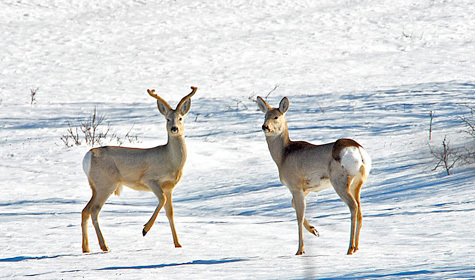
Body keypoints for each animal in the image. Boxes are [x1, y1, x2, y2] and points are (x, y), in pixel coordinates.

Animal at [82, 86, 197, 253]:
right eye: (167, 119)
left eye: (180, 118)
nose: (174, 128)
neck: (170, 160)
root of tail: (88, 156)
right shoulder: (150, 179)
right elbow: (162, 200)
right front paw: (145, 229)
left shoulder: (169, 187)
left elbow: (170, 213)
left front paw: (178, 244)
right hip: (106, 183)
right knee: (94, 210)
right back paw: (104, 246)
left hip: (95, 186)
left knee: (85, 210)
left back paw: (86, 248)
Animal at [256, 97, 372, 256]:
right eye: (265, 116)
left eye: (276, 117)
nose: (265, 127)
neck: (283, 156)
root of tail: (359, 152)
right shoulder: (308, 188)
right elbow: (293, 204)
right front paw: (314, 230)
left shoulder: (295, 185)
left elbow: (299, 217)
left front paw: (300, 250)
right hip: (357, 182)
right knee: (360, 209)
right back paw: (356, 247)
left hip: (340, 181)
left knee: (353, 206)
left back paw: (350, 248)